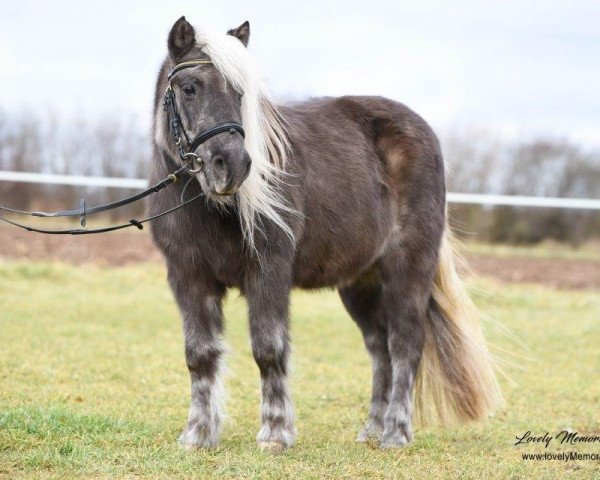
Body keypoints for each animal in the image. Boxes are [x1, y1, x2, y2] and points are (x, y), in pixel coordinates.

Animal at [149, 15, 502, 450]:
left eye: (242, 93)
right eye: (190, 88)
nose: (231, 165)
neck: (207, 207)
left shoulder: (269, 272)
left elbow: (268, 349)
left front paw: (275, 433)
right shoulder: (188, 277)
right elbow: (199, 354)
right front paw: (197, 435)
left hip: (408, 268)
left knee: (405, 344)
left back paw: (395, 432)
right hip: (361, 282)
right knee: (380, 349)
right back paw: (372, 429)